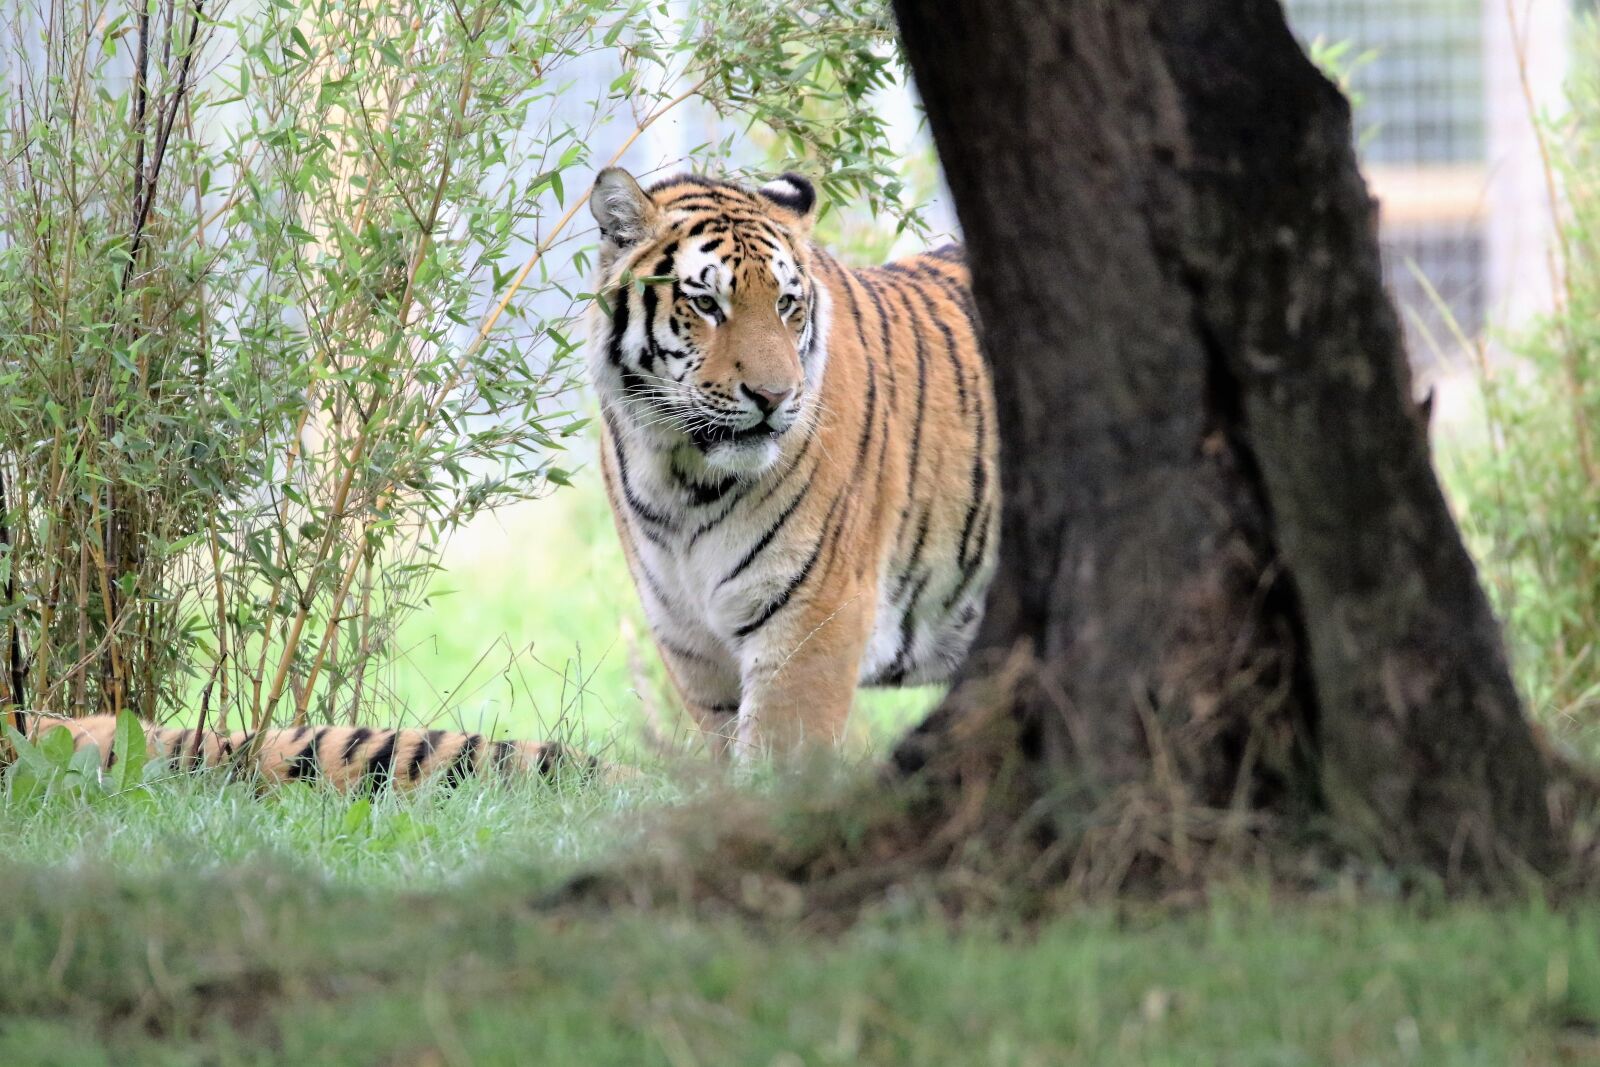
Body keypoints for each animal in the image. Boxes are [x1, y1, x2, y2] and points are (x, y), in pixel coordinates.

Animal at [587, 168, 998, 756]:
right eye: (706, 304)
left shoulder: (812, 624)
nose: (774, 396)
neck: (680, 478)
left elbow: (775, 762)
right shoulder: (691, 645)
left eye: (785, 303)